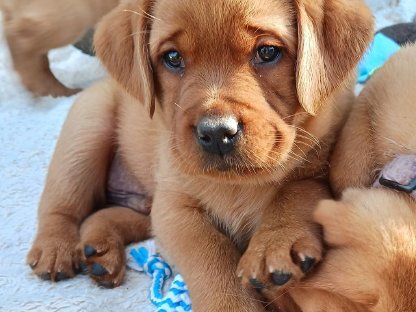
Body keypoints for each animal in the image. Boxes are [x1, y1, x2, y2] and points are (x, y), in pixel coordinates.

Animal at [27, 0, 372, 310]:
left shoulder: (320, 161)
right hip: (85, 134)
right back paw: (55, 249)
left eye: (267, 52)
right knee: (61, 206)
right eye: (172, 57)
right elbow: (210, 255)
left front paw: (276, 239)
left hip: (141, 201)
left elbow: (297, 190)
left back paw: (100, 251)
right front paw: (230, 304)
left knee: (109, 214)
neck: (238, 185)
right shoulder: (174, 206)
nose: (217, 133)